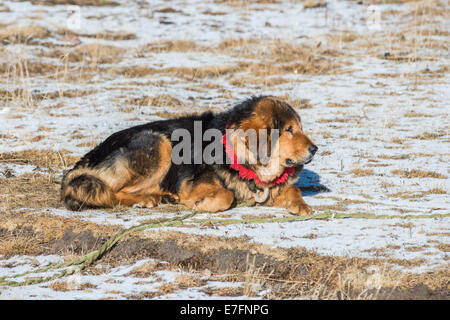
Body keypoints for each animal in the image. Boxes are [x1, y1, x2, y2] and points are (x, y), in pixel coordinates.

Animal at [61, 95, 318, 215]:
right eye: (289, 130)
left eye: (300, 128)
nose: (315, 149)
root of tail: (86, 159)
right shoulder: (192, 182)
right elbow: (226, 195)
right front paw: (202, 203)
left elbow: (292, 188)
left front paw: (300, 205)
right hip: (159, 143)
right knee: (111, 192)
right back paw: (147, 199)